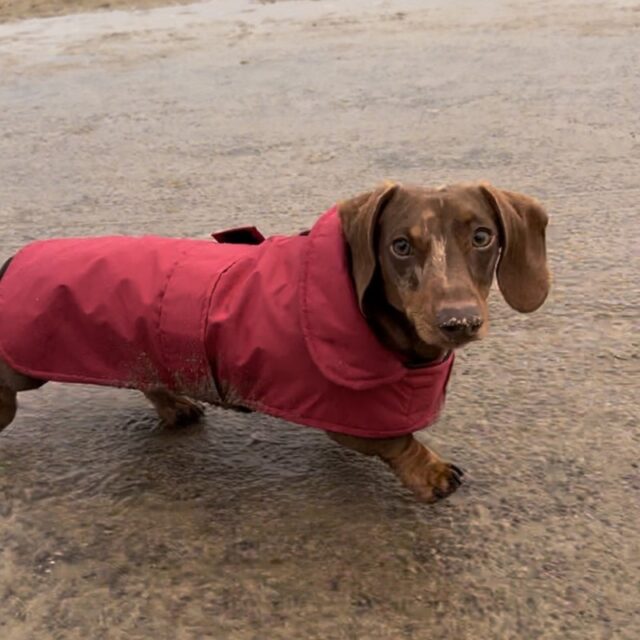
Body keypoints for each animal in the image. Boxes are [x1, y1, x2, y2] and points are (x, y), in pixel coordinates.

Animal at [0, 180, 552, 500]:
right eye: (399, 245)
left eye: (482, 236)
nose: (459, 322)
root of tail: (9, 262)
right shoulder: (349, 420)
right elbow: (398, 441)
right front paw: (431, 473)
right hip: (20, 368)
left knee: (148, 378)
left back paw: (174, 406)